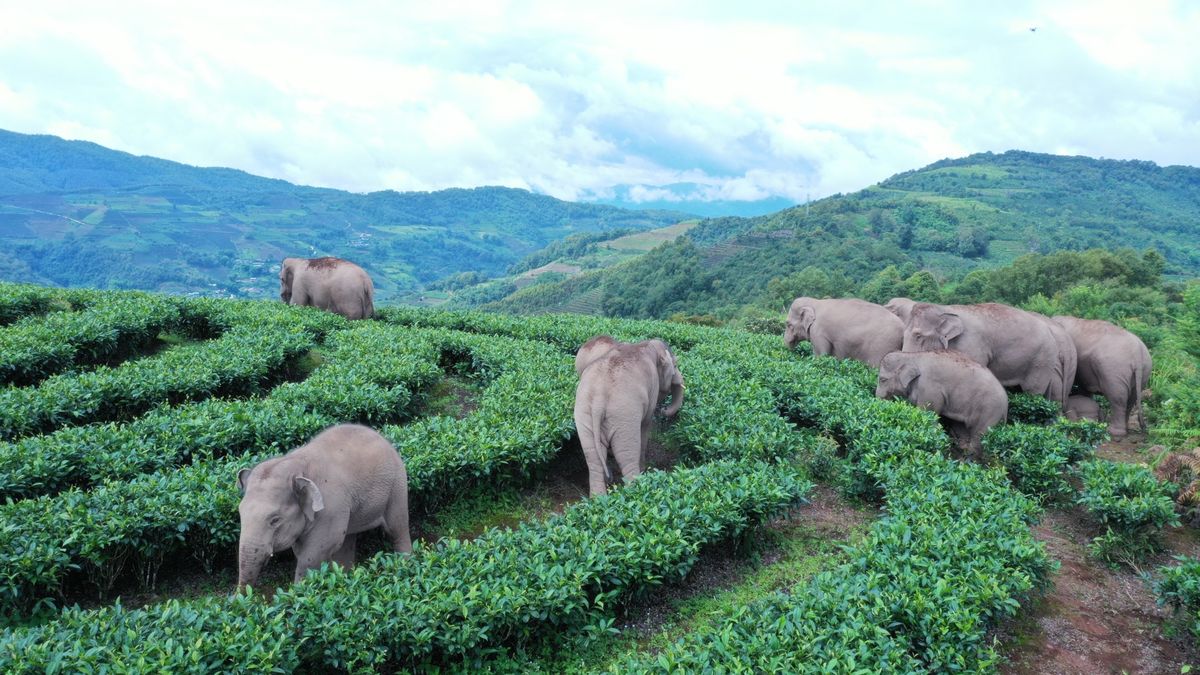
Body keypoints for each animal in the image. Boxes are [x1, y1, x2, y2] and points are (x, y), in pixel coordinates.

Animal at [236, 423, 410, 589]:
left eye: (275, 520)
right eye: (240, 514)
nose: (241, 597)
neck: (296, 464)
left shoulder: (331, 507)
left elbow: (314, 553)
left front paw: (299, 592)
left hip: (397, 485)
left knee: (397, 529)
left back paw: (405, 565)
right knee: (347, 540)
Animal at [574, 339, 684, 496]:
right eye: (675, 365)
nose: (664, 409)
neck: (647, 344)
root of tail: (599, 399)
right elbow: (645, 425)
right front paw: (644, 469)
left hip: (583, 414)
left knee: (593, 459)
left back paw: (598, 498)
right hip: (624, 416)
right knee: (627, 455)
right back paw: (636, 489)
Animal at [875, 350, 1008, 459]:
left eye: (882, 379)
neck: (912, 356)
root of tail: (1006, 404)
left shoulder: (929, 388)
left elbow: (929, 414)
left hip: (989, 410)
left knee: (978, 436)